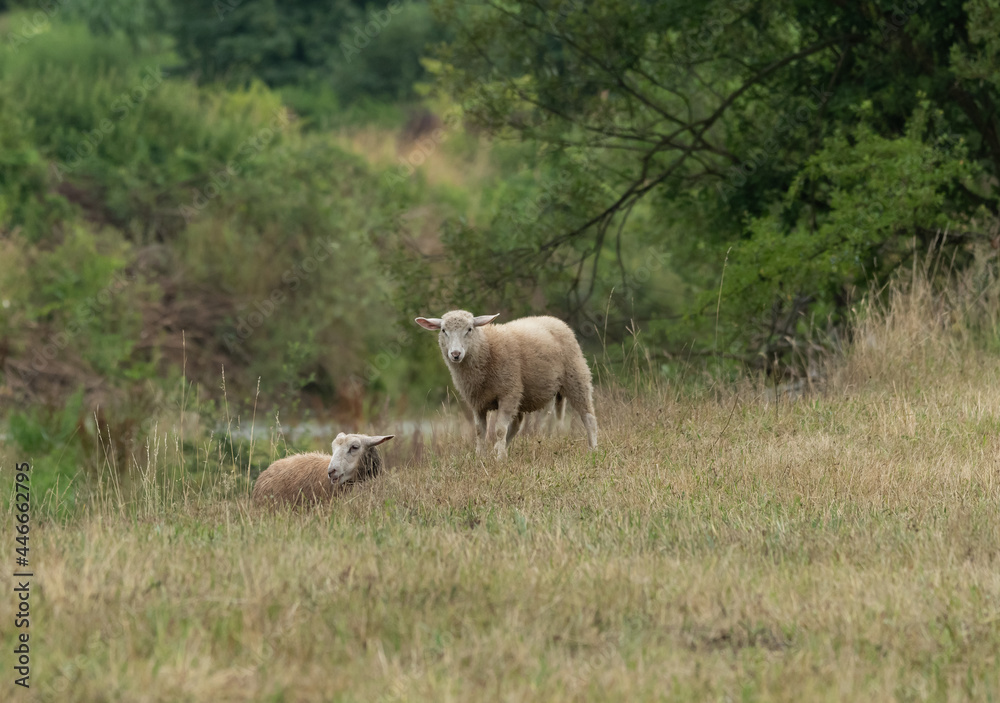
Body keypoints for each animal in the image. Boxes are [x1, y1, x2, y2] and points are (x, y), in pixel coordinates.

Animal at [412, 310, 596, 460]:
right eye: (443, 330)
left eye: (470, 329)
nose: (455, 354)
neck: (486, 349)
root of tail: (554, 320)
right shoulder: (477, 402)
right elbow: (480, 431)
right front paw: (481, 456)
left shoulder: (507, 393)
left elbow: (500, 429)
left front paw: (500, 458)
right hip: (522, 395)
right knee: (516, 425)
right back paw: (498, 449)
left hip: (576, 377)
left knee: (588, 416)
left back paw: (593, 448)